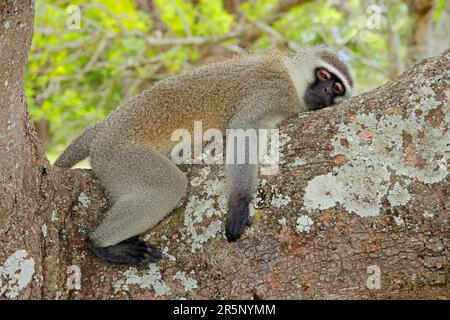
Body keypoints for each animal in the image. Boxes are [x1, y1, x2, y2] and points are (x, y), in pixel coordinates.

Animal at [54, 45, 354, 264]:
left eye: (338, 88)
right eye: (325, 77)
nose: (326, 92)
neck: (290, 75)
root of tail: (105, 128)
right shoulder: (274, 91)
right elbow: (243, 128)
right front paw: (239, 202)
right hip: (118, 154)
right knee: (170, 186)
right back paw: (99, 243)